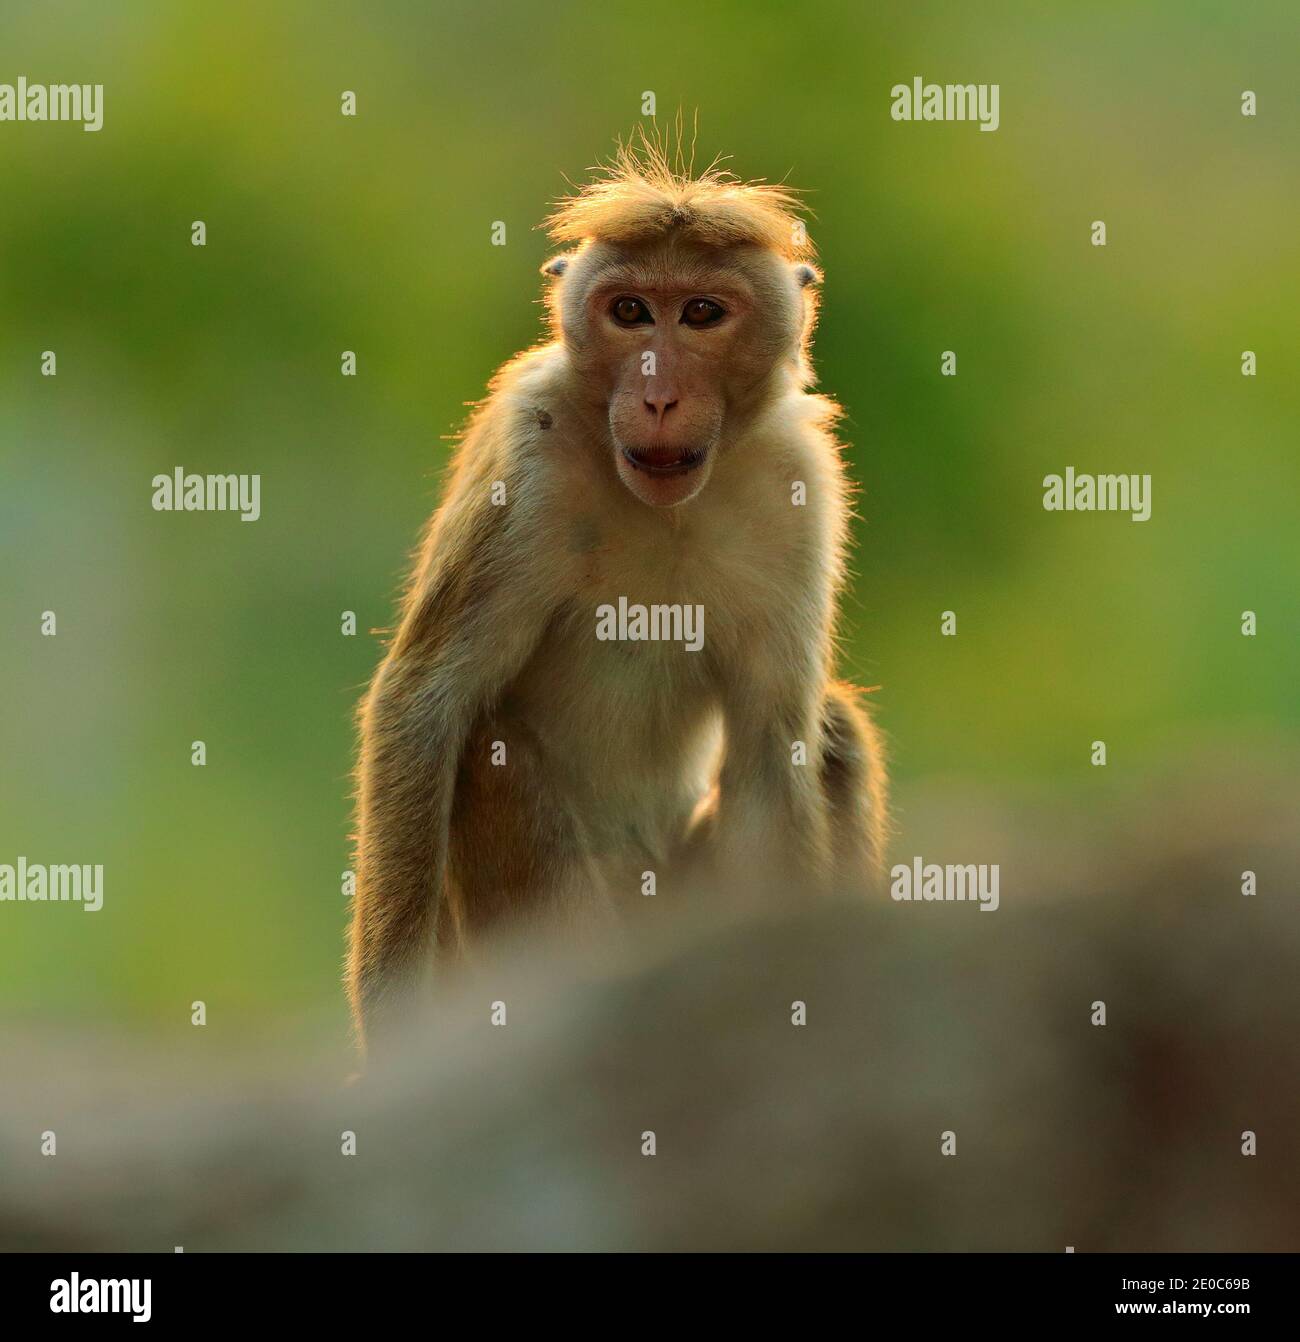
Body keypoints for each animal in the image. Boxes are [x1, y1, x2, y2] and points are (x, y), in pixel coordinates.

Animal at [347, 138, 888, 1053]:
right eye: (630, 311)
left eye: (700, 313)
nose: (657, 393)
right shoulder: (527, 458)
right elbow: (424, 705)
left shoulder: (800, 484)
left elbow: (771, 747)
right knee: (488, 749)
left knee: (833, 729)